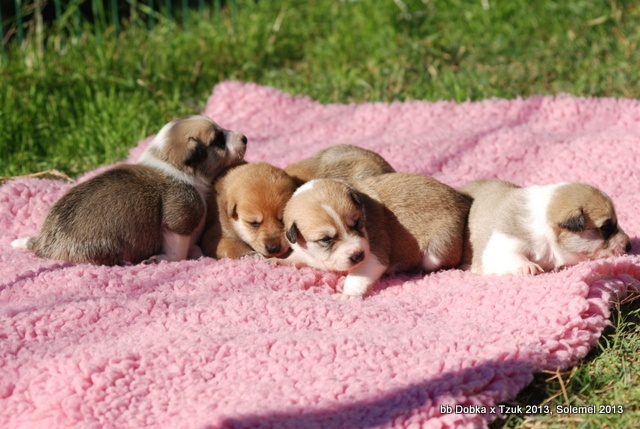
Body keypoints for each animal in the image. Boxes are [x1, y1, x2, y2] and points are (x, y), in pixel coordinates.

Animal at [13, 115, 248, 266]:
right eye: (218, 140)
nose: (245, 137)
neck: (171, 166)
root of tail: (44, 245)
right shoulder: (179, 221)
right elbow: (178, 249)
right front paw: (166, 259)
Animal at [278, 173, 470, 298]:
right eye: (326, 239)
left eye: (357, 223)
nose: (358, 255)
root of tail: (463, 202)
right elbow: (296, 258)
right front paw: (278, 261)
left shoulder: (374, 255)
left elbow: (357, 277)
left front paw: (347, 295)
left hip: (436, 253)